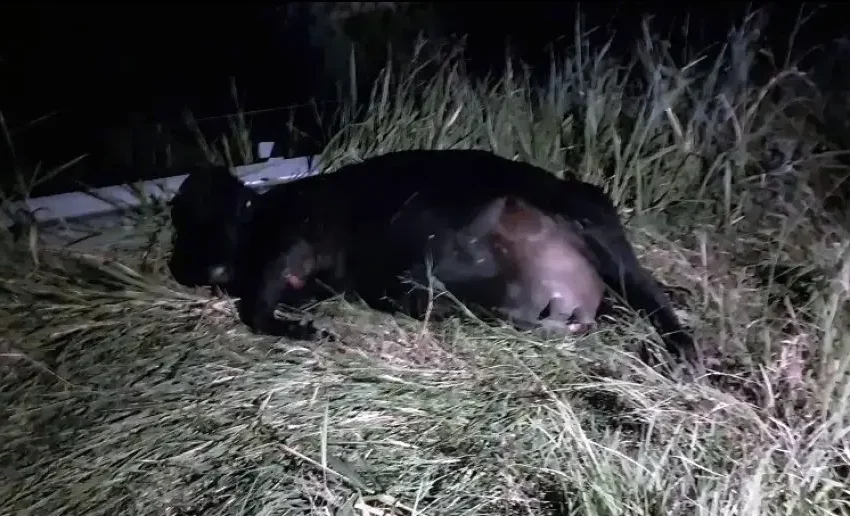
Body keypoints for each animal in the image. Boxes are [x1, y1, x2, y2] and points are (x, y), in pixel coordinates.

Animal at [166, 149, 696, 366]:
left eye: (190, 218)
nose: (184, 269)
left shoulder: (294, 239)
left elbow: (257, 310)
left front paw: (306, 333)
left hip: (593, 219)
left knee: (653, 298)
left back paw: (682, 353)